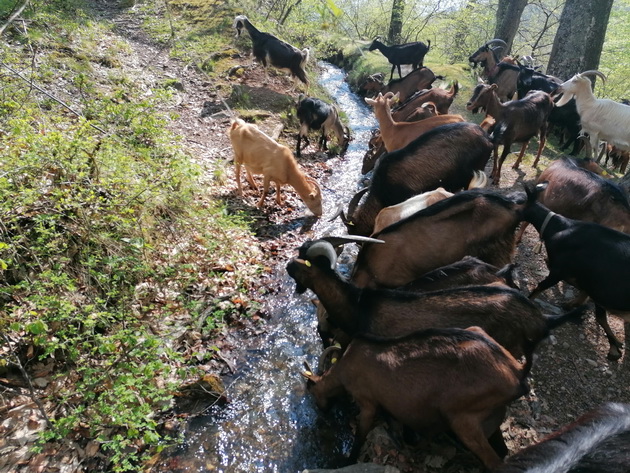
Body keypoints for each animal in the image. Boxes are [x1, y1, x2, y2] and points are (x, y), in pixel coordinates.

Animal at [304, 326, 532, 466]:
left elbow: (360, 436)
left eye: (312, 392)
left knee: (493, 461)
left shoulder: (367, 402)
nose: (322, 410)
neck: (345, 366)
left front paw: (348, 461)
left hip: (462, 419)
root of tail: (517, 372)